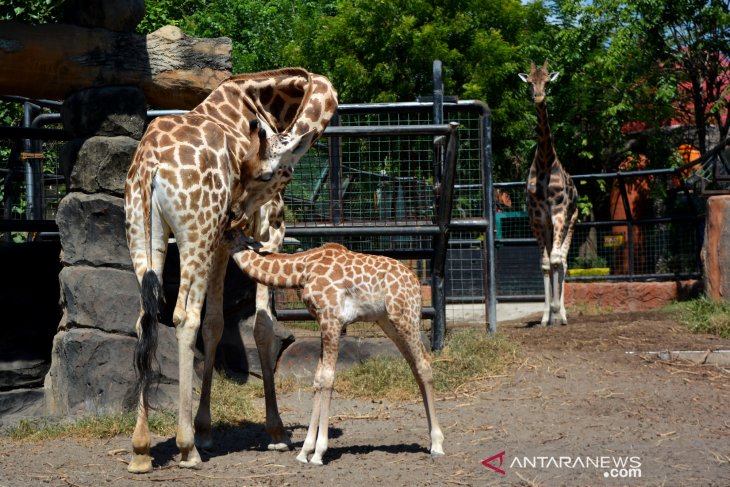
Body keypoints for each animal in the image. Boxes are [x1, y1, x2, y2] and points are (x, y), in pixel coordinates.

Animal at [124, 68, 338, 472]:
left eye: (264, 173)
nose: (235, 211)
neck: (270, 104)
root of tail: (149, 164)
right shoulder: (269, 232)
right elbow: (263, 327)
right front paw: (277, 431)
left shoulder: (224, 243)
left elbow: (216, 325)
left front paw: (206, 429)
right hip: (198, 229)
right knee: (183, 317)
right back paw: (186, 448)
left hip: (144, 233)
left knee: (145, 320)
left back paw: (141, 450)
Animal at [228, 242, 444, 468]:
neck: (303, 267)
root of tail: (416, 281)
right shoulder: (323, 322)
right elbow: (318, 378)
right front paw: (305, 451)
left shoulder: (332, 319)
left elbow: (328, 378)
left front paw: (318, 453)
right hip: (388, 321)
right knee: (416, 365)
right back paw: (431, 442)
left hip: (405, 316)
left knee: (423, 364)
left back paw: (438, 445)